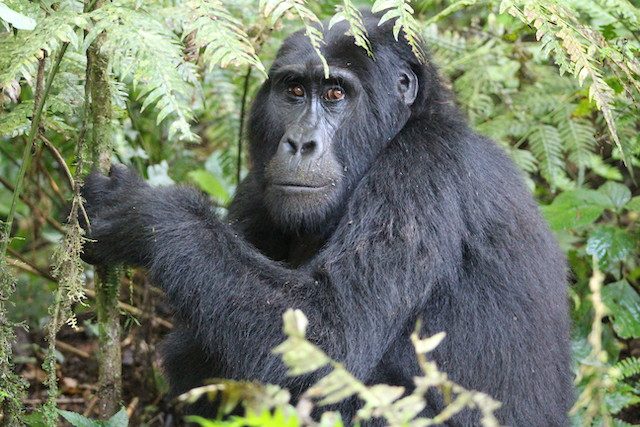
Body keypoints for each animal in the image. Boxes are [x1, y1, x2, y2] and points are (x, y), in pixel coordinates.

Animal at [81, 11, 576, 427]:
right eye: (295, 91)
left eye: (336, 93)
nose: (301, 143)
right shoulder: (258, 186)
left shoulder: (422, 169)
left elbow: (330, 334)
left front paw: (143, 213)